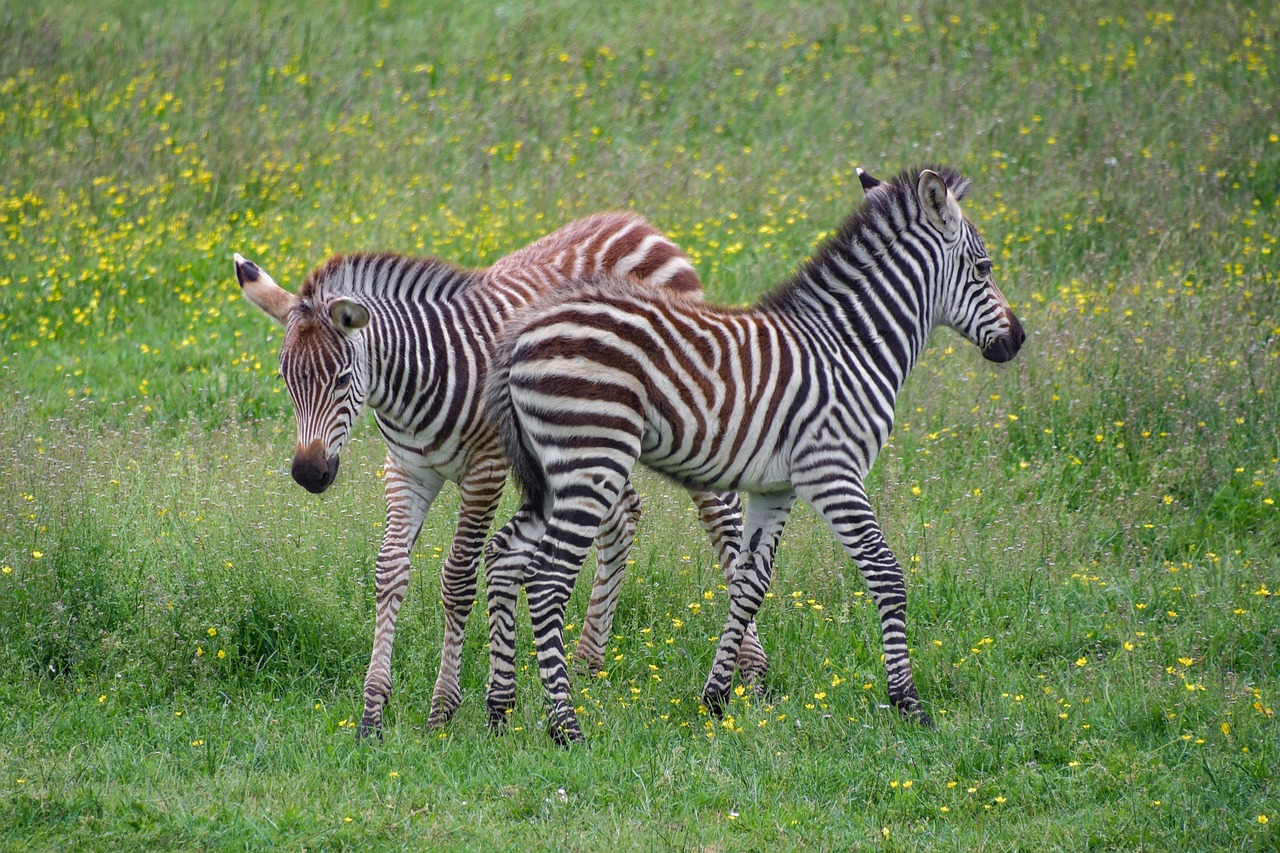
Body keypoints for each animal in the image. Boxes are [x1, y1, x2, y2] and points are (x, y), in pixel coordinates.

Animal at [231, 212, 762, 737]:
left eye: (342, 378)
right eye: (284, 379)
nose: (310, 474)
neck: (411, 383)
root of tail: (637, 223)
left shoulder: (483, 470)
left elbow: (457, 578)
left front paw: (442, 710)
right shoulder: (406, 470)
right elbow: (390, 571)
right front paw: (372, 714)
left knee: (723, 523)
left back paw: (750, 670)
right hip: (590, 437)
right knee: (624, 515)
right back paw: (588, 662)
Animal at [483, 163, 1024, 737]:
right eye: (984, 268)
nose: (1018, 340)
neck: (852, 347)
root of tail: (522, 332)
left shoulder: (776, 488)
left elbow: (749, 585)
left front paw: (717, 697)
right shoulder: (832, 471)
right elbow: (886, 573)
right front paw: (908, 702)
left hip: (556, 471)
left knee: (503, 556)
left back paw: (499, 710)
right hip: (592, 461)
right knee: (546, 580)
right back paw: (566, 727)